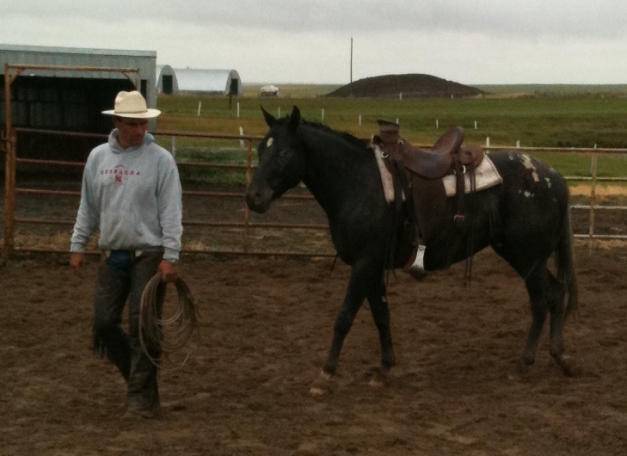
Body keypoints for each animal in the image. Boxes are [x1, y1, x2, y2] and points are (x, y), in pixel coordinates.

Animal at [245, 106, 580, 392]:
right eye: (261, 150)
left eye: (284, 152)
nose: (254, 197)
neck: (358, 183)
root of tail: (554, 178)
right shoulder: (372, 267)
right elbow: (381, 315)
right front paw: (383, 369)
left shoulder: (364, 264)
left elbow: (345, 317)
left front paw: (325, 374)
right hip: (521, 255)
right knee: (554, 294)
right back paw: (556, 357)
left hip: (528, 257)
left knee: (543, 299)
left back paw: (528, 363)